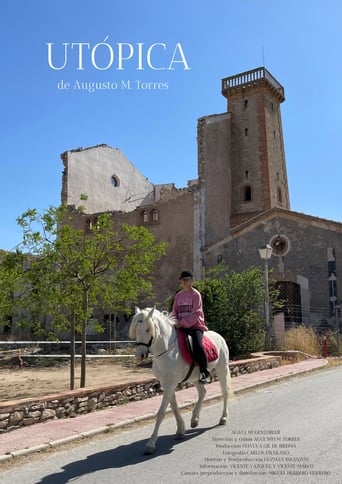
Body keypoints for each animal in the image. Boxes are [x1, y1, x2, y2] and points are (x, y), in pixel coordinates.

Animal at [129, 306, 232, 454]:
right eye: (136, 329)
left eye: (148, 329)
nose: (140, 354)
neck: (167, 350)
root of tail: (219, 337)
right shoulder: (166, 384)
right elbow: (174, 407)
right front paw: (180, 430)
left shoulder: (171, 384)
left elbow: (161, 412)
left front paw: (151, 444)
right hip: (196, 377)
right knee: (203, 392)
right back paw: (194, 419)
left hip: (222, 369)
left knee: (225, 392)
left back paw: (223, 418)